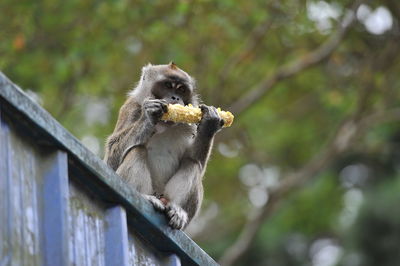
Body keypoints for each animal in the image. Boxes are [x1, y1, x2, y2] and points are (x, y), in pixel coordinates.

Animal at [104, 62, 225, 229]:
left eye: (181, 89)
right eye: (167, 85)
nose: (175, 97)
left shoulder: (189, 126)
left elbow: (196, 162)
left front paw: (208, 124)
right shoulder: (131, 108)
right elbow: (110, 160)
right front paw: (149, 116)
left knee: (192, 163)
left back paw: (178, 211)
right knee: (137, 150)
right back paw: (146, 197)